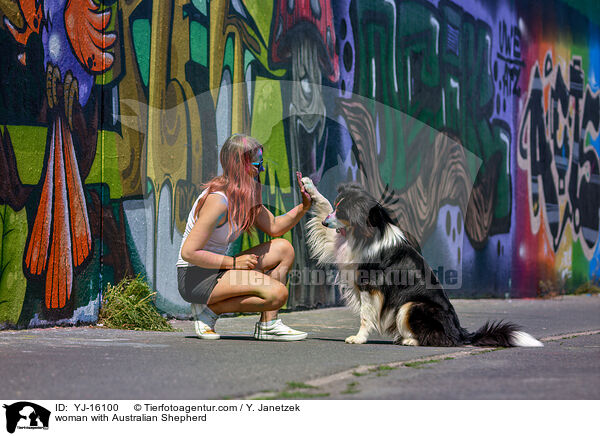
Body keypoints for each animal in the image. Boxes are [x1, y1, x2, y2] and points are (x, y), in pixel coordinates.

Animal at [302, 177, 540, 348]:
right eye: (337, 207)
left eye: (342, 212)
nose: (325, 223)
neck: (365, 233)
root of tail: (460, 333)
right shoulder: (339, 243)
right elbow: (323, 207)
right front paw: (309, 187)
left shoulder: (370, 286)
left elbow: (365, 316)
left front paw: (358, 338)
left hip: (412, 305)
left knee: (438, 339)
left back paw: (409, 340)